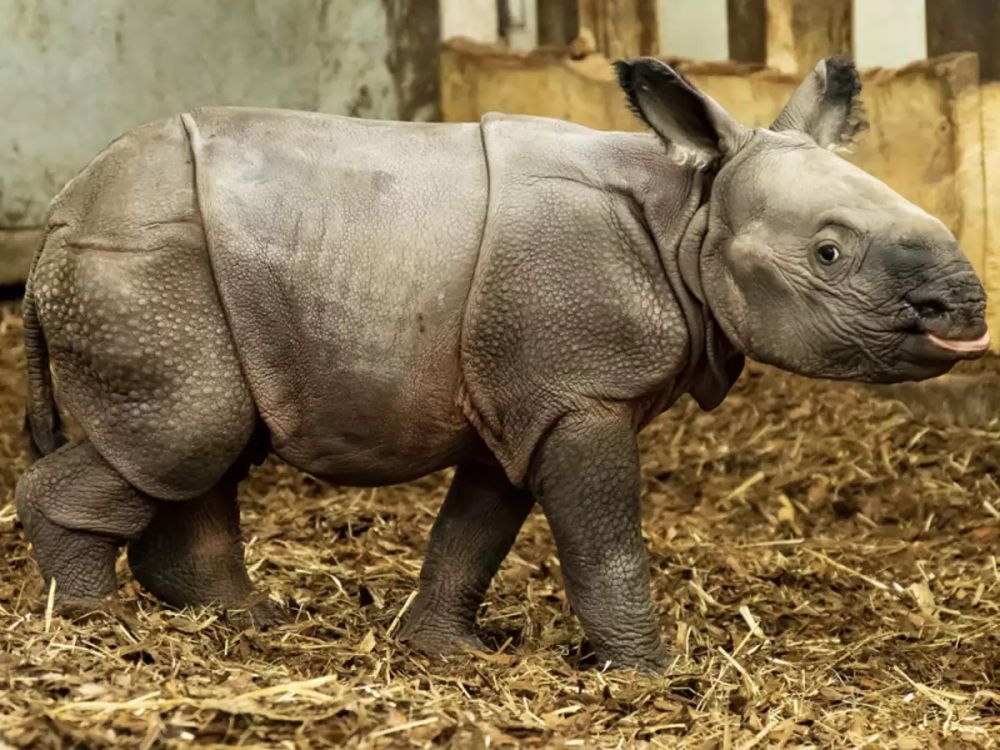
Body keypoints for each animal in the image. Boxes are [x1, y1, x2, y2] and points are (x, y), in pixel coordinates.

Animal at [13, 57, 984, 668]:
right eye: (829, 253)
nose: (967, 312)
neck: (692, 210)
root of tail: (57, 216)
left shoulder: (525, 397)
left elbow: (474, 530)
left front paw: (444, 652)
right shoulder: (579, 394)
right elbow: (604, 543)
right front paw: (653, 675)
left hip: (182, 284)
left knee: (201, 448)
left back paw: (245, 620)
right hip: (143, 271)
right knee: (183, 437)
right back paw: (100, 626)